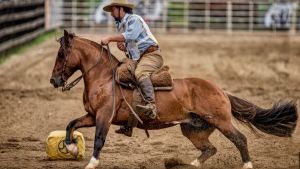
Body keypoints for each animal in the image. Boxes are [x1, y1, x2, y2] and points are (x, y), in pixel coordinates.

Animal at [49, 30, 298, 169]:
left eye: (61, 54)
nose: (54, 80)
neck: (105, 78)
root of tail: (221, 91)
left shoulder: (103, 117)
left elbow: (99, 140)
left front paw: (91, 163)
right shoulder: (91, 115)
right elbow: (71, 125)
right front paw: (71, 148)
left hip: (221, 121)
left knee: (240, 139)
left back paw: (247, 165)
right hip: (192, 128)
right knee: (209, 149)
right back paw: (190, 164)